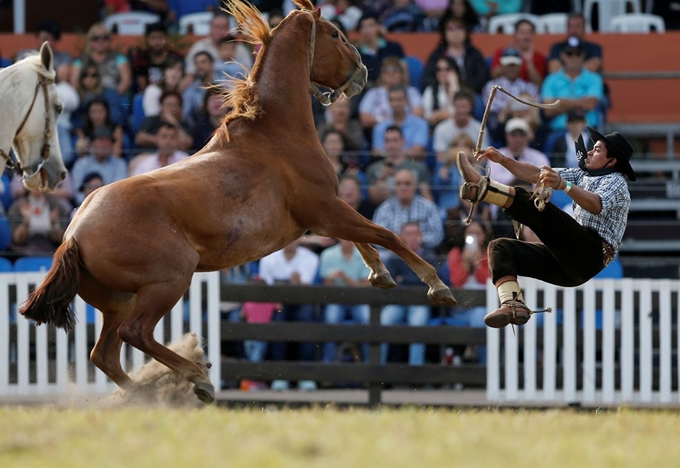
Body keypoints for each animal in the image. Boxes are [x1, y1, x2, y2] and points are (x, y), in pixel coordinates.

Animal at [21, 0, 456, 402]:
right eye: (335, 34)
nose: (363, 73)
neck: (276, 132)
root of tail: (74, 234)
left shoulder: (325, 214)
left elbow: (366, 237)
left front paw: (380, 273)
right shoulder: (325, 209)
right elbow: (385, 234)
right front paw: (437, 286)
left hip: (118, 301)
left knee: (105, 354)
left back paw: (146, 393)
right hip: (168, 281)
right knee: (135, 334)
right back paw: (196, 379)